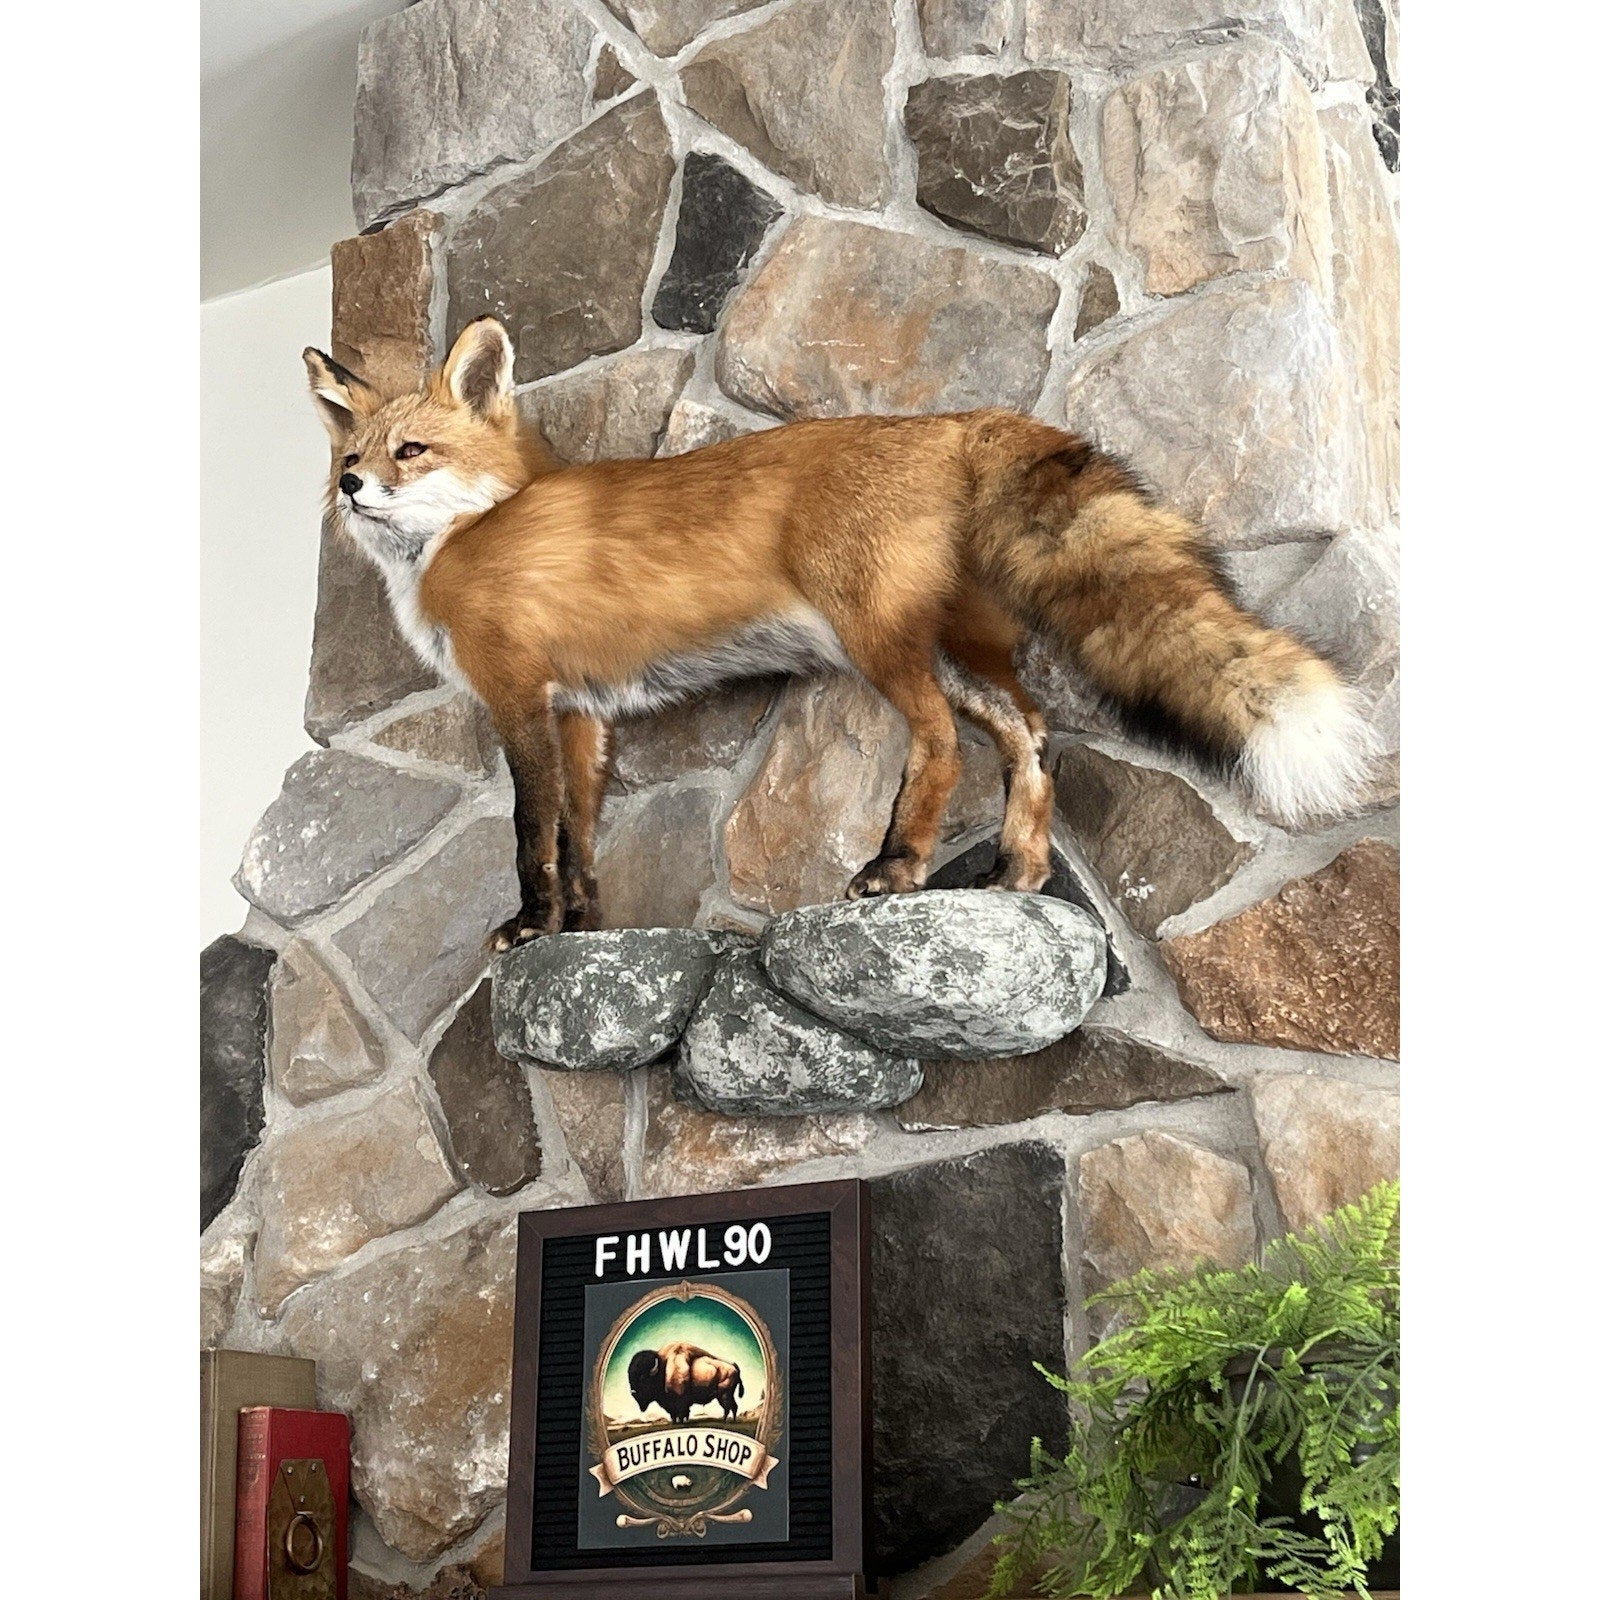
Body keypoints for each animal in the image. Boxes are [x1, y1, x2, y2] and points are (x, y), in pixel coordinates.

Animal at [305, 317, 1376, 951]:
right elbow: (577, 836)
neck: (467, 535)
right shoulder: (580, 716)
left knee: (941, 743)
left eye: (411, 451)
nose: (351, 487)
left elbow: (530, 833)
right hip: (955, 651)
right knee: (1030, 737)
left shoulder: (518, 698)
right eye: (351, 453)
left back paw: (897, 868)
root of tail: (952, 423)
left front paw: (529, 926)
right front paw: (577, 928)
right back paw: (1016, 877)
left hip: (876, 640)